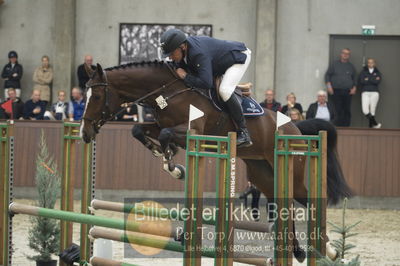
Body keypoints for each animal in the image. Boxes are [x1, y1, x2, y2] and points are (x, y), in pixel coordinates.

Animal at [79, 60, 352, 262]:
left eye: (96, 97)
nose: (84, 133)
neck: (167, 91)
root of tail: (294, 126)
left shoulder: (191, 130)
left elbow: (166, 135)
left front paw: (173, 165)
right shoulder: (159, 124)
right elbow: (138, 130)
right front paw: (165, 157)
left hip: (289, 172)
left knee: (309, 199)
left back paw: (329, 251)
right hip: (263, 175)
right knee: (285, 205)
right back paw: (298, 250)